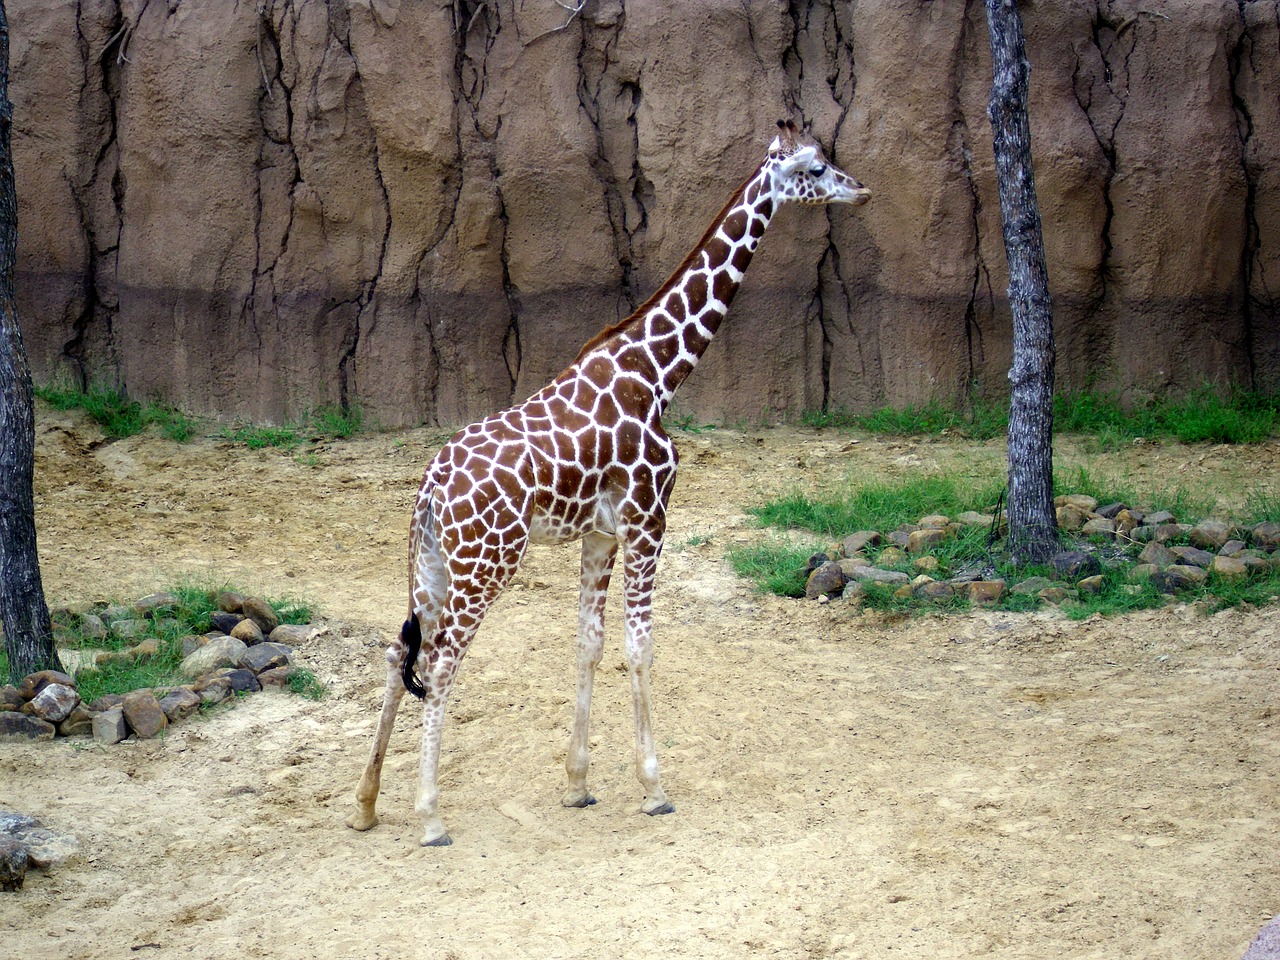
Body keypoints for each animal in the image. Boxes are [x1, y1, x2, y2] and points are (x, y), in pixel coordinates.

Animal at [348, 120, 870, 849]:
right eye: (816, 167)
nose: (862, 189)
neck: (658, 369)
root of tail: (429, 488)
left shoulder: (600, 532)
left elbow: (589, 644)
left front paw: (577, 784)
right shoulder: (650, 518)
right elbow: (639, 646)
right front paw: (654, 788)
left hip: (431, 565)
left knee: (401, 653)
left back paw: (365, 804)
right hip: (487, 562)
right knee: (443, 663)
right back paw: (430, 816)